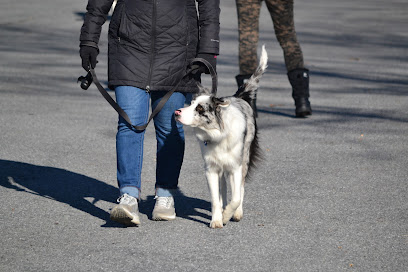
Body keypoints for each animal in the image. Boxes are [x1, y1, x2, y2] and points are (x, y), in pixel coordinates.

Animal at [175, 46, 268, 227]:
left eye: (200, 109)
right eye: (191, 103)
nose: (176, 112)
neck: (218, 135)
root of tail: (239, 97)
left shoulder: (236, 167)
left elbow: (236, 197)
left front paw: (227, 215)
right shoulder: (211, 169)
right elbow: (215, 198)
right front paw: (217, 219)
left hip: (244, 158)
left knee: (240, 189)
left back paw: (237, 213)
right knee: (223, 189)